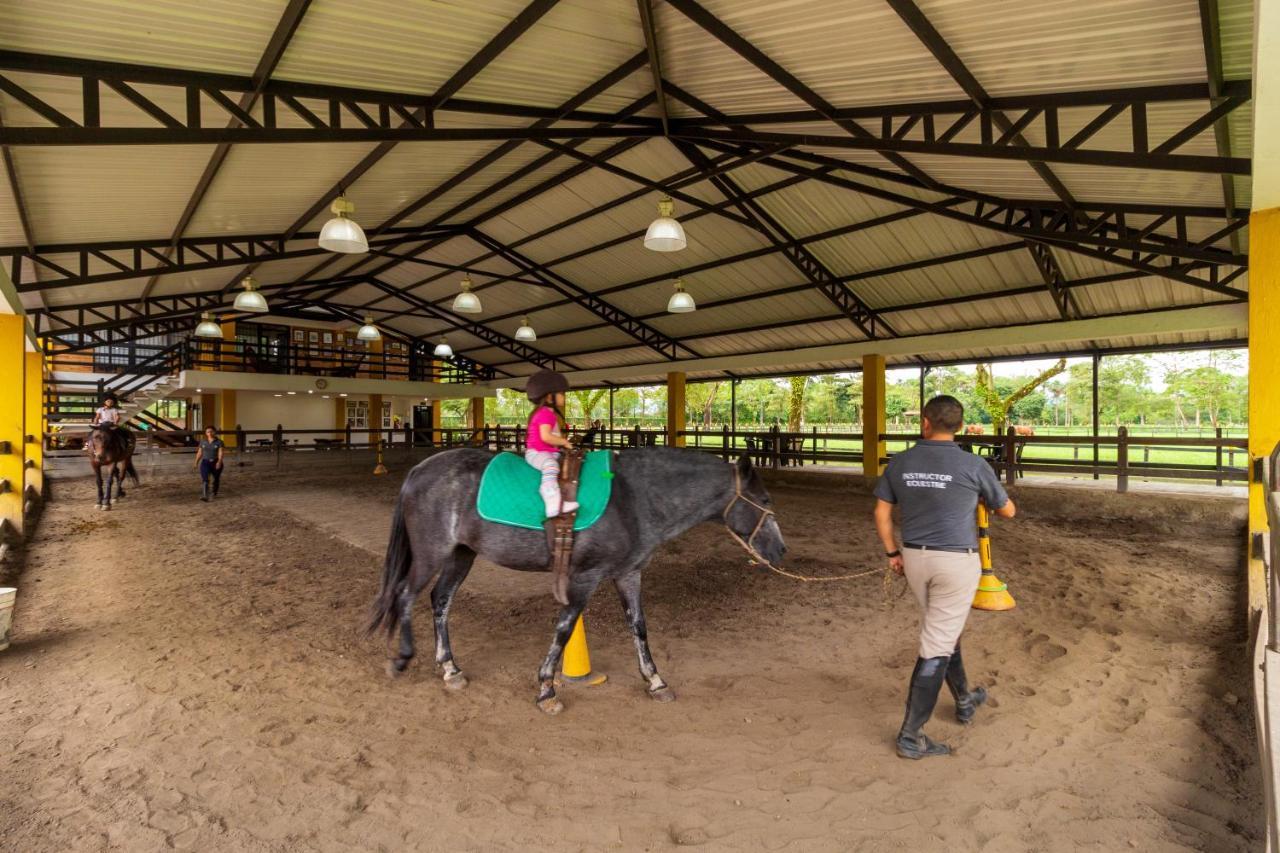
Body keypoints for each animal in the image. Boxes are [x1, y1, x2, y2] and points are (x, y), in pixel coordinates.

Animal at [368, 445, 788, 712]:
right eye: (765, 501)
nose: (781, 550)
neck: (633, 498)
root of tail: (420, 470)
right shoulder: (585, 577)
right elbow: (565, 629)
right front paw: (546, 689)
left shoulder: (628, 574)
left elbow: (638, 627)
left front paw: (655, 681)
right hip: (431, 553)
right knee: (405, 596)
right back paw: (402, 659)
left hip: (461, 554)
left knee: (440, 601)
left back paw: (450, 669)